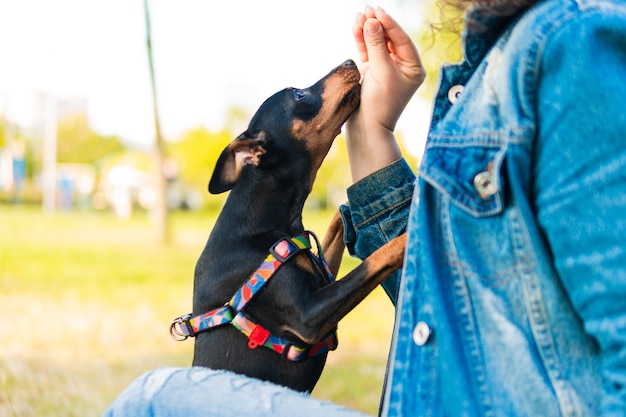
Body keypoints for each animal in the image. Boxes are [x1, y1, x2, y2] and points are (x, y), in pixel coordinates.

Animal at [171, 60, 404, 392]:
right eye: (298, 95)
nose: (349, 62)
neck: (262, 224)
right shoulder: (308, 316)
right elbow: (376, 259)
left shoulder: (319, 273)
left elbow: (334, 226)